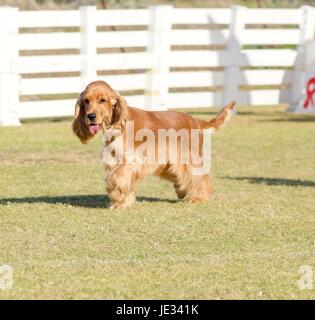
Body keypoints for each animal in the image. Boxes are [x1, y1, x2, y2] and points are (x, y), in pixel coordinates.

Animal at [73, 81, 236, 209]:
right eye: (86, 101)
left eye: (102, 100)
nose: (91, 116)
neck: (117, 123)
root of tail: (196, 120)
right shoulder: (114, 160)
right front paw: (121, 203)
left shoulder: (131, 160)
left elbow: (114, 179)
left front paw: (117, 198)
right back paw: (182, 191)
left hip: (189, 158)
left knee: (201, 177)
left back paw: (198, 197)